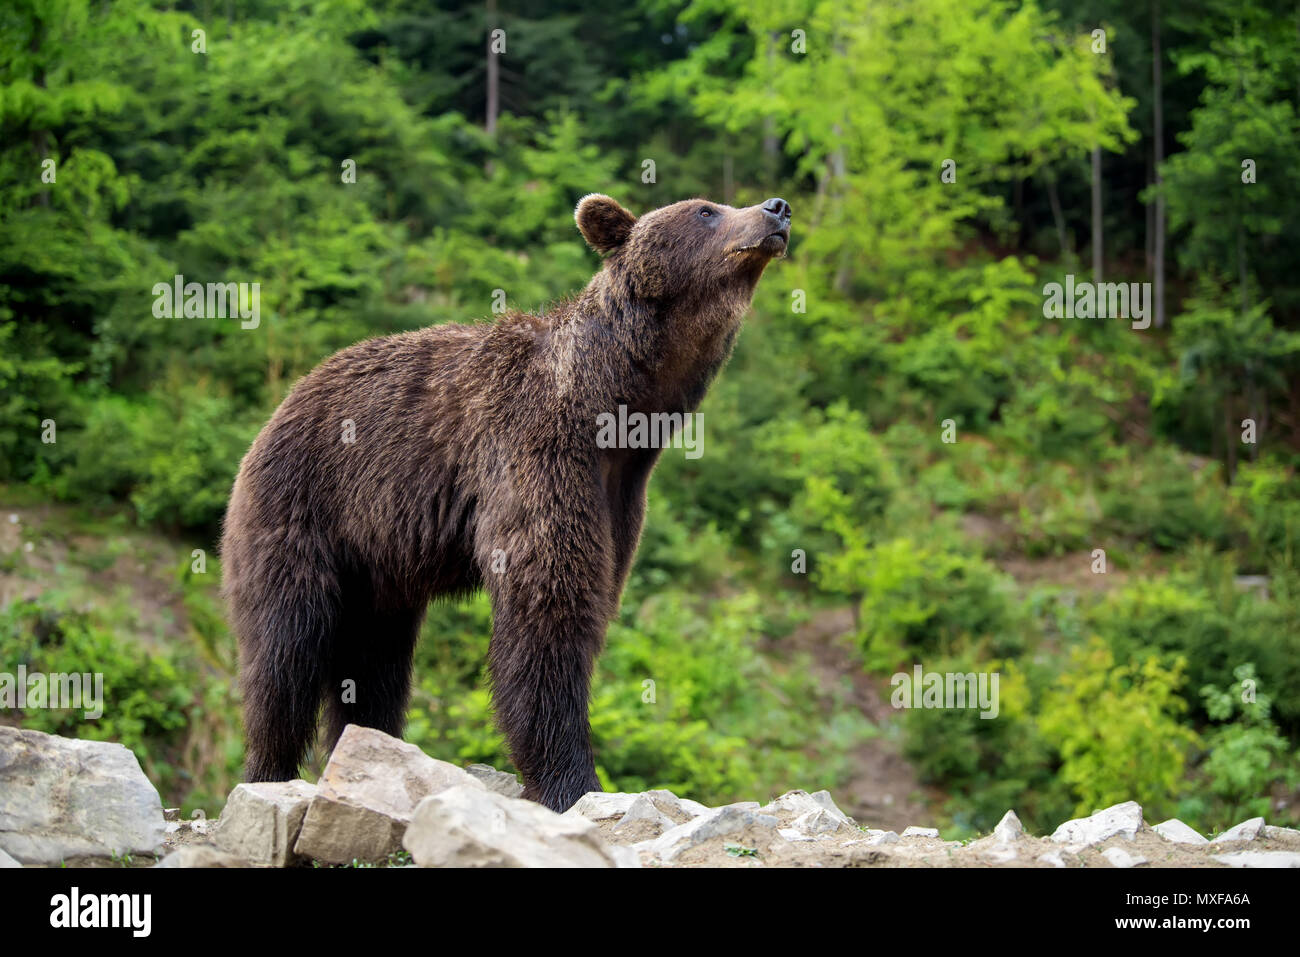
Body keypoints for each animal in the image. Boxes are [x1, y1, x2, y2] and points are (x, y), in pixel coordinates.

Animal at [220, 191, 790, 811]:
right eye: (706, 210)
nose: (776, 208)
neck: (618, 405)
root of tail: (283, 402)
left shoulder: (621, 494)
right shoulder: (533, 448)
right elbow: (548, 604)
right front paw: (572, 780)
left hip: (378, 564)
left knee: (376, 661)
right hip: (303, 508)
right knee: (285, 650)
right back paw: (268, 771)